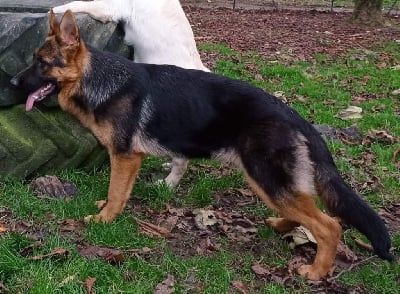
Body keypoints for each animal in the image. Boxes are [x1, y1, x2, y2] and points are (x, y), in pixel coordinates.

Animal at [10, 10, 392, 280]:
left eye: (41, 63)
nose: (12, 81)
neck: (98, 80)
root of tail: (297, 118)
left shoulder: (125, 157)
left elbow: (117, 193)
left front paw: (103, 220)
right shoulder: (129, 160)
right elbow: (119, 191)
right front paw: (107, 211)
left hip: (265, 176)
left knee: (330, 225)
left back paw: (316, 271)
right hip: (271, 181)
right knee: (307, 208)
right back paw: (284, 225)